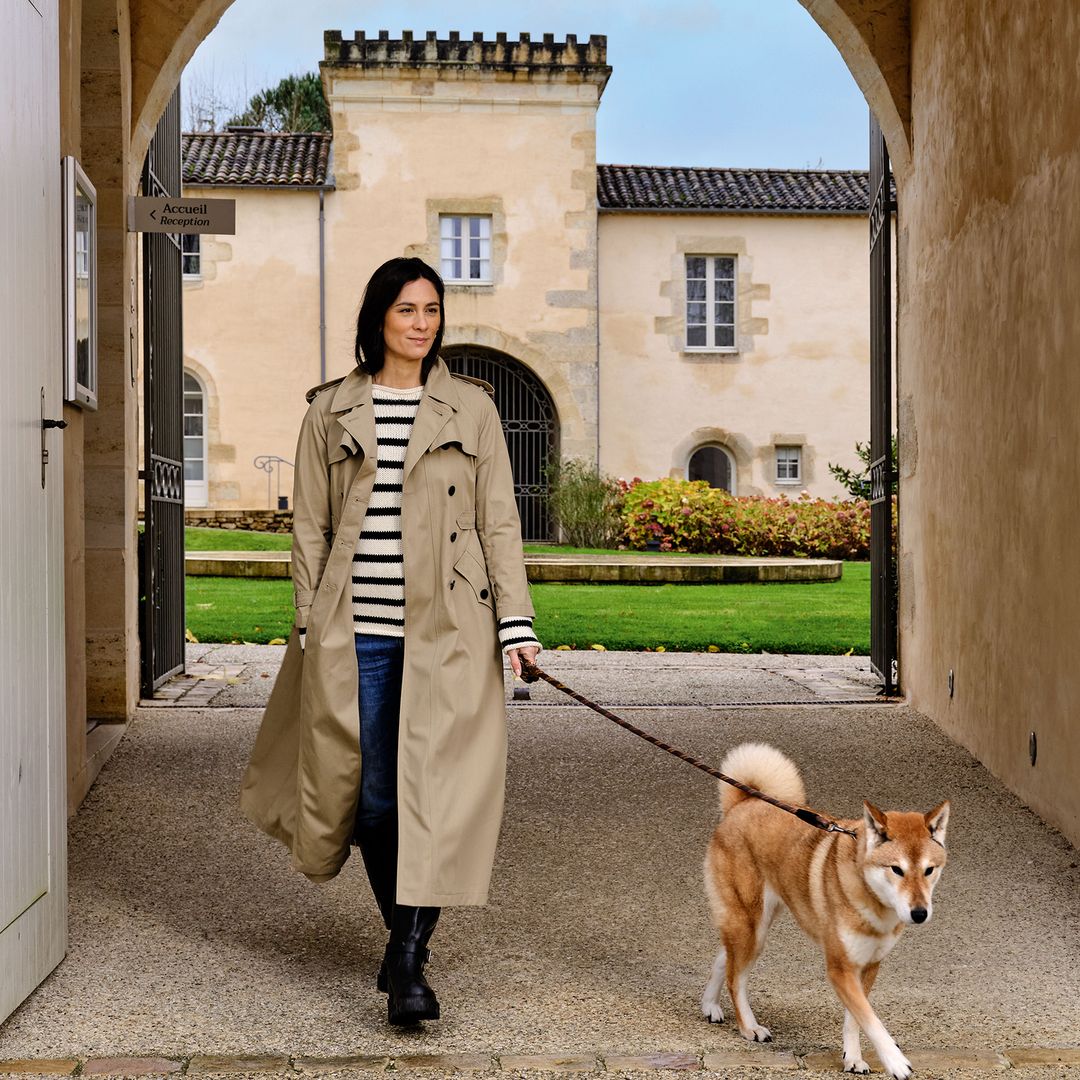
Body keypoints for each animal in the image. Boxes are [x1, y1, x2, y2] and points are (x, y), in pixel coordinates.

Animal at [699, 743, 946, 1080]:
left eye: (929, 870)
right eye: (897, 869)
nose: (920, 913)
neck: (873, 904)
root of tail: (743, 803)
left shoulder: (868, 966)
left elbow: (855, 1018)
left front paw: (852, 1058)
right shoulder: (840, 968)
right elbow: (871, 1019)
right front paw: (895, 1062)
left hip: (752, 925)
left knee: (725, 958)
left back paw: (710, 1005)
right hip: (751, 925)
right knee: (736, 977)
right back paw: (749, 1027)